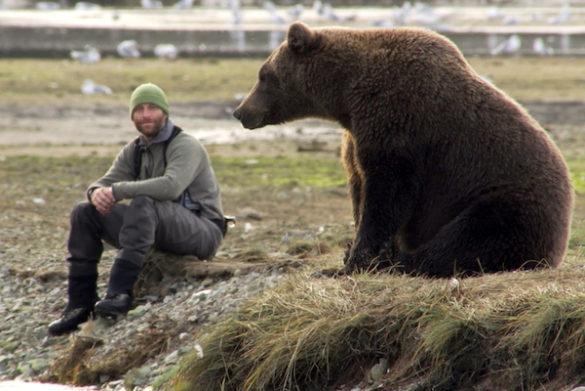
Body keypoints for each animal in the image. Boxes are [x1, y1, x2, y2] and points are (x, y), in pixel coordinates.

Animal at [232, 22, 572, 278]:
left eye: (263, 75)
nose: (240, 111)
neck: (346, 95)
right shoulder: (356, 135)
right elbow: (359, 187)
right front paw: (354, 253)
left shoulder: (397, 120)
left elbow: (387, 193)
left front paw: (356, 261)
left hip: (504, 201)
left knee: (468, 239)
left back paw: (402, 263)